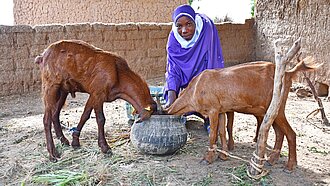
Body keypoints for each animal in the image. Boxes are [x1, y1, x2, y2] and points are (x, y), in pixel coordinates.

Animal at [168, 58, 318, 171]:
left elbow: (213, 134)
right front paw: (223, 155)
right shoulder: (221, 110)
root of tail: (287, 73)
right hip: (272, 111)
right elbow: (222, 131)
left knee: (291, 133)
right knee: (280, 132)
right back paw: (272, 159)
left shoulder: (213, 110)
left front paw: (208, 158)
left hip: (278, 107)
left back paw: (290, 165)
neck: (195, 89)